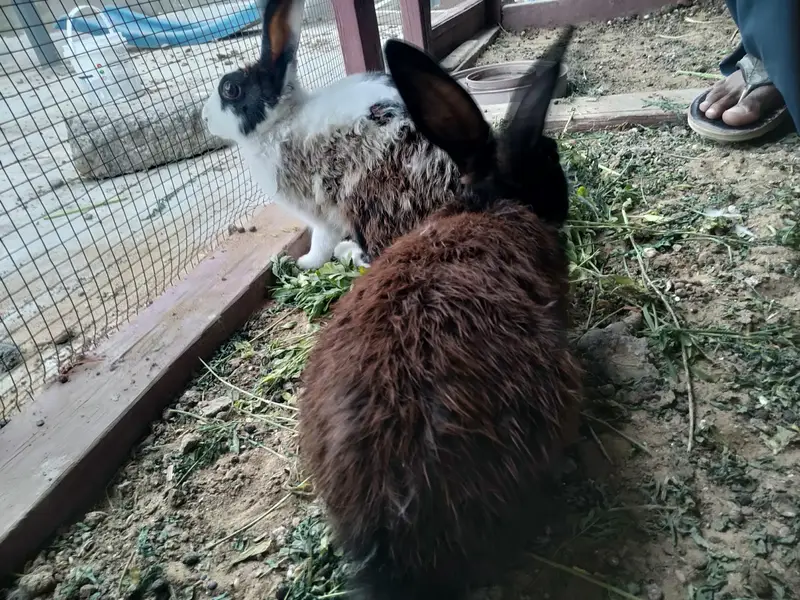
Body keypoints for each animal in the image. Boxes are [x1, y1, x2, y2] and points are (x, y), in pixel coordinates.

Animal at [203, 0, 502, 271]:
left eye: (230, 89)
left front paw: (305, 262)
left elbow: (321, 241)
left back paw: (348, 252)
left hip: (372, 203)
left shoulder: (320, 214)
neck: (279, 122)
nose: (205, 119)